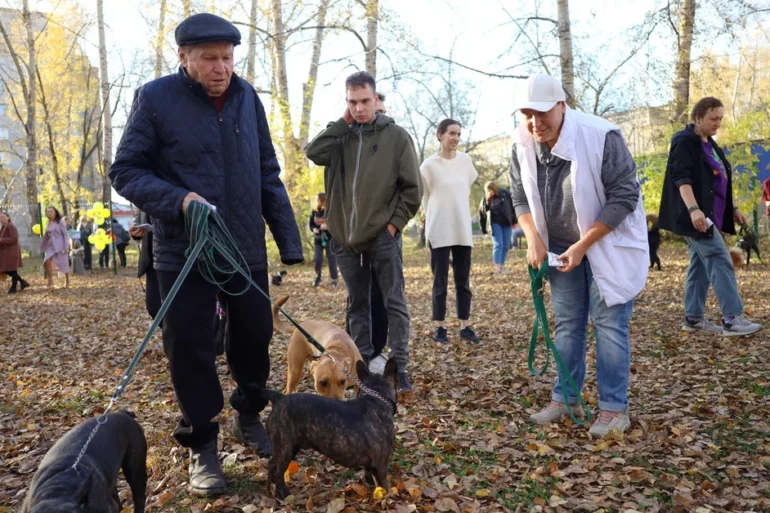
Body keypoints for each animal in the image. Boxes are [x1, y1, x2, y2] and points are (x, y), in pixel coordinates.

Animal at [260, 358, 400, 498]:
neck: (374, 399)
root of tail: (279, 398)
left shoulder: (371, 464)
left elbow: (369, 475)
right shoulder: (380, 465)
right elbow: (383, 486)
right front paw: (385, 497)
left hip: (291, 447)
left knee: (272, 465)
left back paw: (270, 490)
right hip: (286, 448)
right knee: (278, 472)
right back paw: (284, 494)